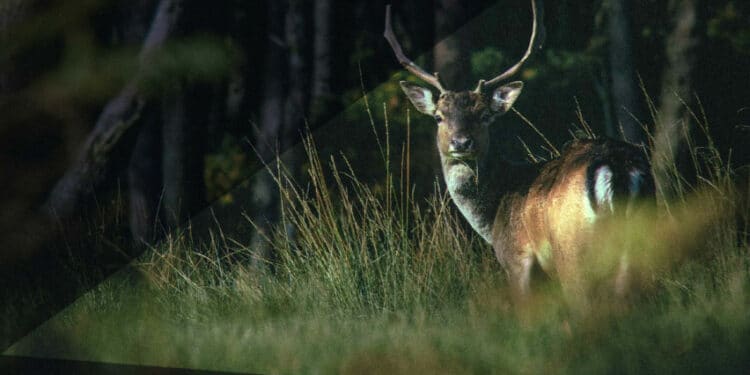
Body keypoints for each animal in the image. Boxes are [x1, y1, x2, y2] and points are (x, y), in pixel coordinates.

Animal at [384, 0, 656, 304]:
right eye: (439, 117)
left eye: (484, 116)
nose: (461, 143)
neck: (492, 218)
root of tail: (616, 167)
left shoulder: (517, 259)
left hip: (571, 251)